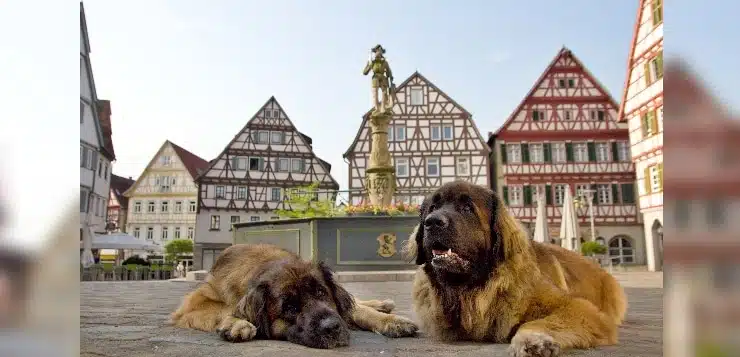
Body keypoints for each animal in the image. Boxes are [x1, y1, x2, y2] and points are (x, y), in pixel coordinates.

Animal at [170, 242, 420, 348]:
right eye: (289, 308)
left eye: (321, 292)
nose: (332, 328)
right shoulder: (196, 301)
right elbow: (225, 308)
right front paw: (236, 323)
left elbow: (355, 309)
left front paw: (390, 321)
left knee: (356, 303)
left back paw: (383, 306)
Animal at [402, 182, 628, 354]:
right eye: (433, 208)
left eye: (467, 209)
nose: (432, 222)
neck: (472, 291)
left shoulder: (578, 307)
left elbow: (536, 322)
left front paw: (533, 340)